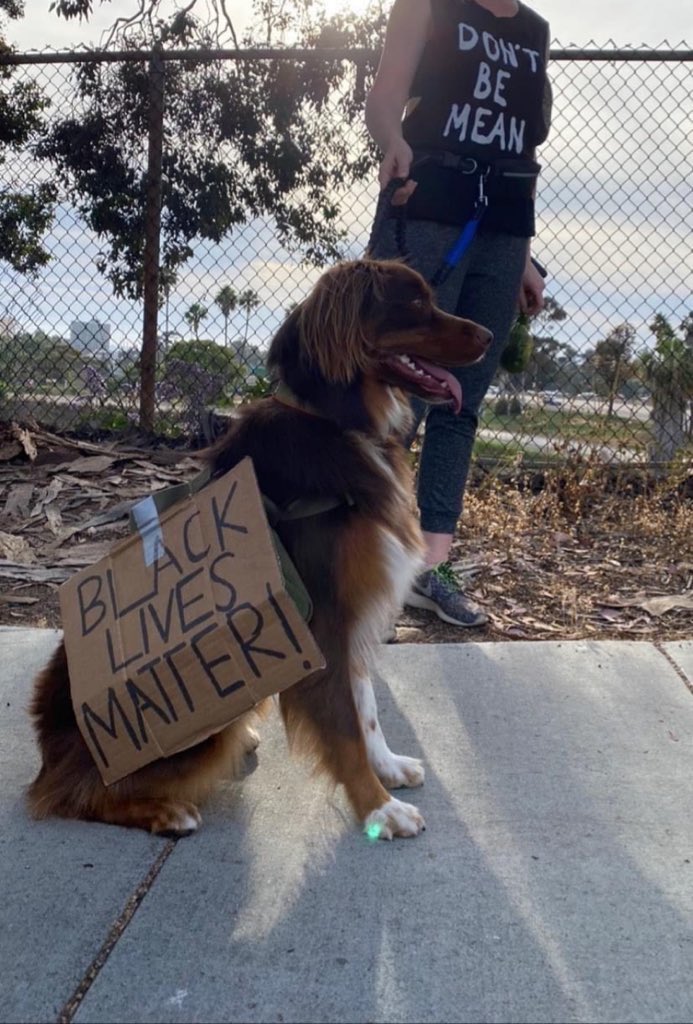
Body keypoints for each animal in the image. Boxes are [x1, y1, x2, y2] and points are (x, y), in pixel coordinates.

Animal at [28, 260, 491, 843]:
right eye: (413, 303)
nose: (490, 336)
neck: (335, 419)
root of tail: (48, 751)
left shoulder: (351, 613)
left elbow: (366, 707)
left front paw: (386, 768)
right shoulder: (324, 619)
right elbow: (345, 725)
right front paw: (377, 808)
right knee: (69, 793)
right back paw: (164, 811)